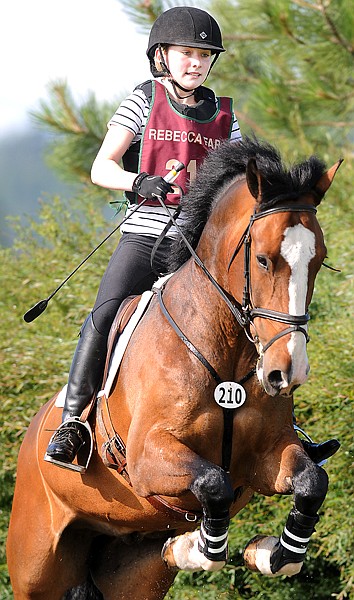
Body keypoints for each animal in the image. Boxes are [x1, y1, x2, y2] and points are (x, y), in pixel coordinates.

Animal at [6, 137, 342, 600]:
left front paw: (270, 553)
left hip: (130, 573)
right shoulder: (149, 459)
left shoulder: (269, 455)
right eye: (263, 259)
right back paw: (68, 442)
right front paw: (206, 548)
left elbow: (311, 483)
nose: (286, 372)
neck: (227, 353)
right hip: (36, 569)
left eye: (319, 260)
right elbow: (214, 484)